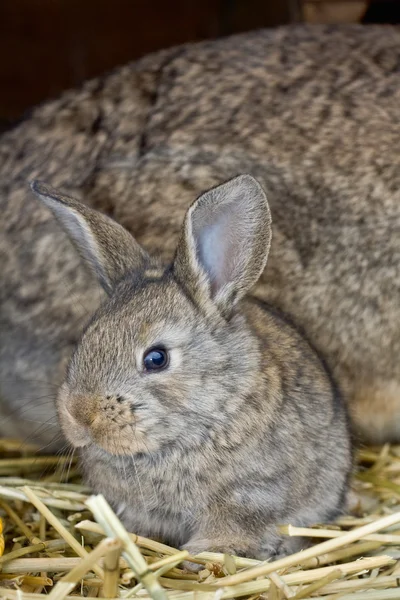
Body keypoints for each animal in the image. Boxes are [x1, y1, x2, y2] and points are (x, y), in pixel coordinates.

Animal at [31, 175, 352, 564]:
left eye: (157, 358)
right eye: (86, 337)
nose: (80, 415)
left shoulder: (251, 494)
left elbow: (236, 524)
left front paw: (209, 552)